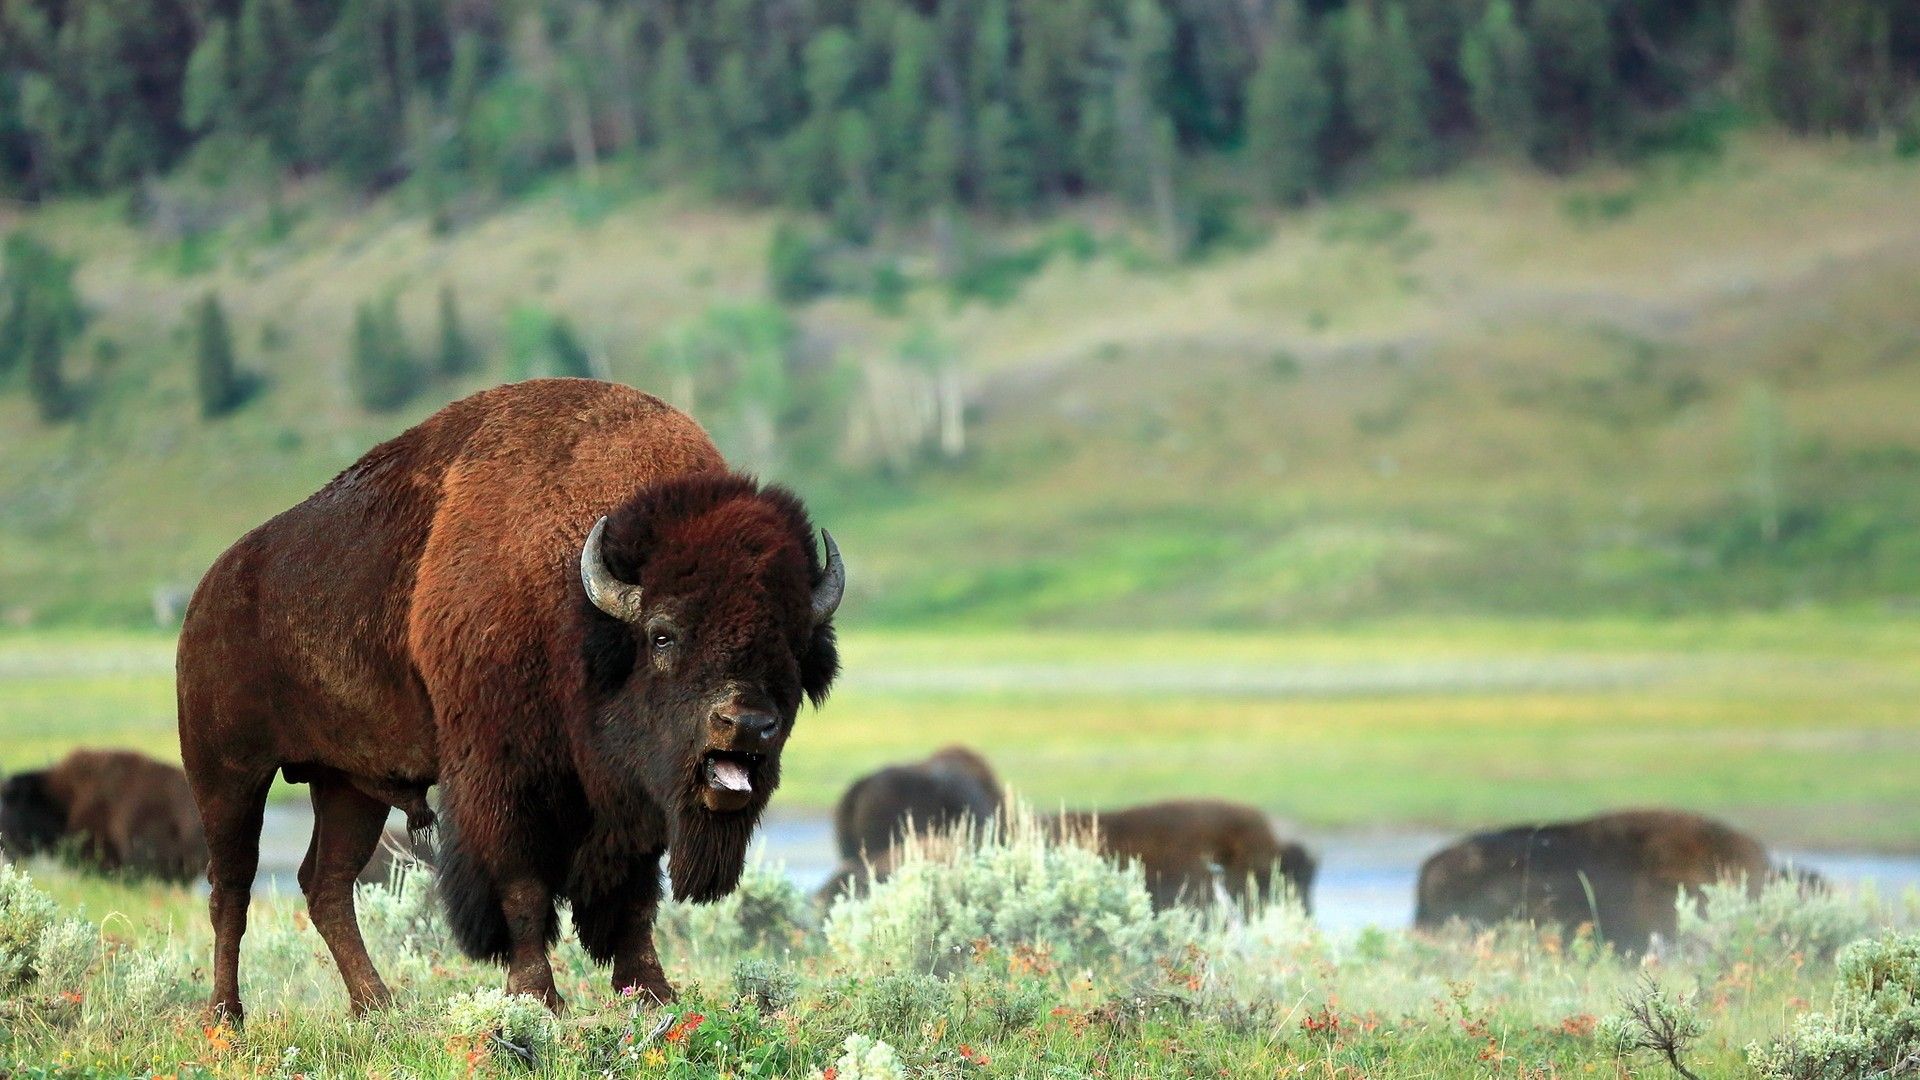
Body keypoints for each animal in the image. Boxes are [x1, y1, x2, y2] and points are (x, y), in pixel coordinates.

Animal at [174, 380, 840, 1014]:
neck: (579, 609)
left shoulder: (635, 807)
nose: (746, 723)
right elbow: (521, 885)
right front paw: (537, 994)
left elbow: (634, 897)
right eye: (662, 634)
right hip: (229, 776)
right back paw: (227, 1016)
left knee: (326, 884)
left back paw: (376, 1008)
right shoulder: (504, 779)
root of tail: (208, 593)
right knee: (231, 889)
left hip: (346, 784)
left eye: (794, 642)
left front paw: (652, 991)